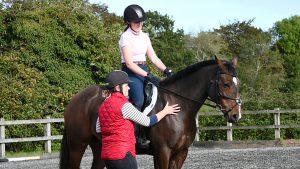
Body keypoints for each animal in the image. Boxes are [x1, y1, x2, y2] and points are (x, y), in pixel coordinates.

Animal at [59, 57, 243, 168]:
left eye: (238, 83)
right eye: (226, 84)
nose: (236, 115)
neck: (179, 108)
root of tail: (76, 99)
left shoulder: (181, 153)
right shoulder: (163, 152)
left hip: (99, 147)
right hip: (77, 145)